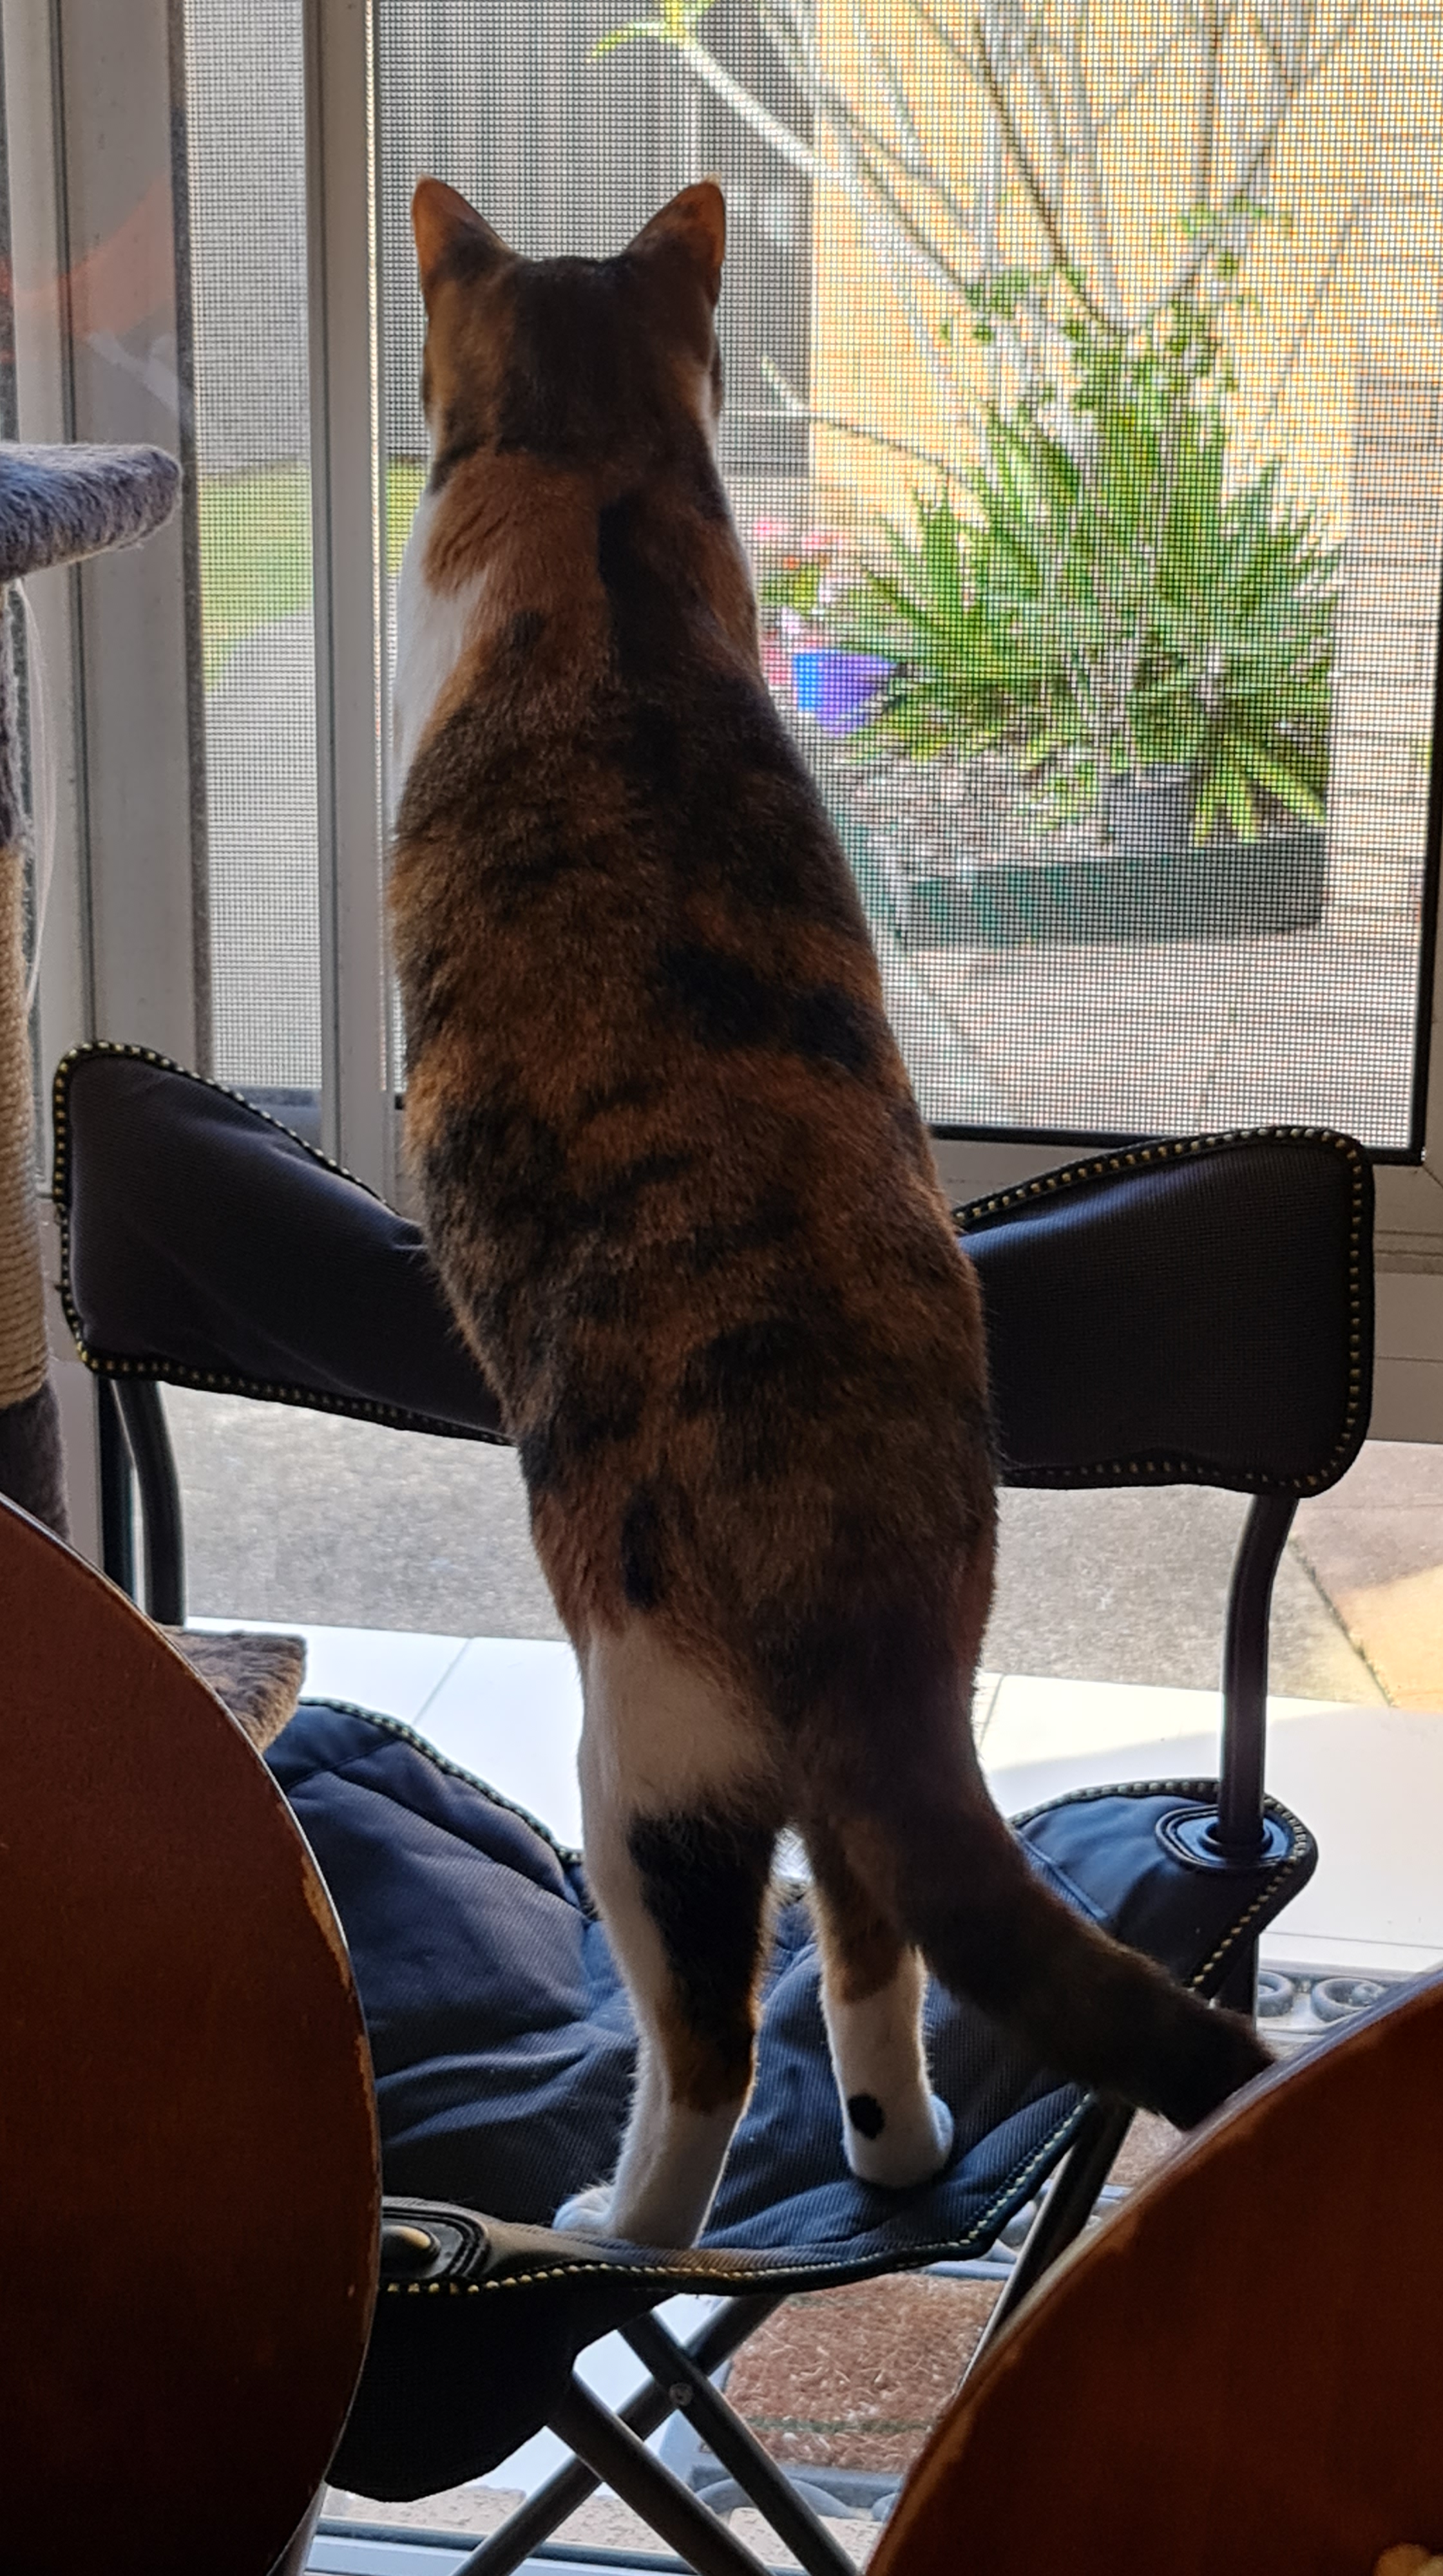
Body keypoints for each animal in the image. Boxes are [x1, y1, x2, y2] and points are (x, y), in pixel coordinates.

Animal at [389, 173, 1271, 2249]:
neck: (597, 485)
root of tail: (861, 1579)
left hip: (641, 1782)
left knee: (711, 2050)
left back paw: (618, 2224)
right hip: (849, 1805)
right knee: (874, 1958)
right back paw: (901, 2150)